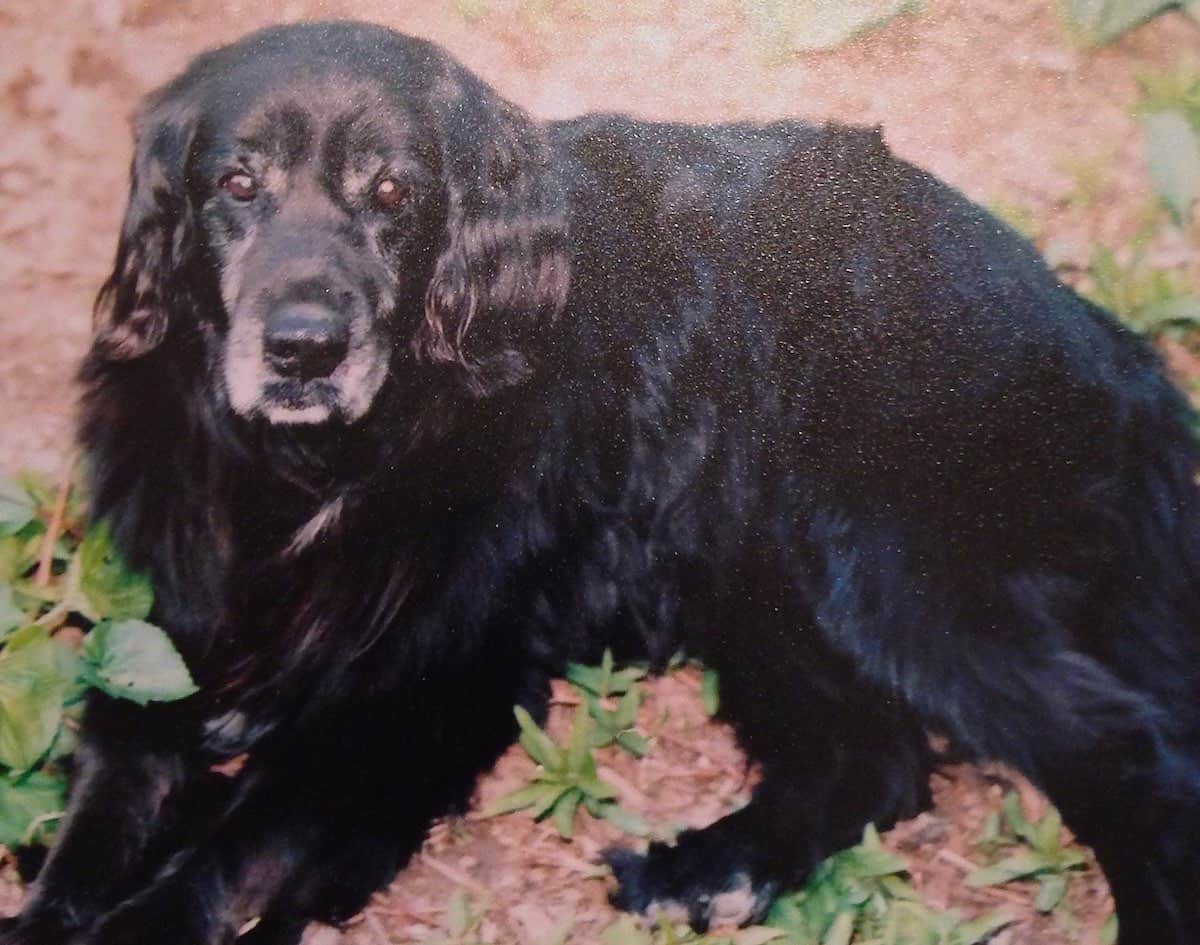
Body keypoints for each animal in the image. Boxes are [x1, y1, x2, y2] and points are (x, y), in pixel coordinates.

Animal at [4, 22, 1195, 944]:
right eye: (235, 184)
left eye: (392, 191)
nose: (302, 348)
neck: (319, 473)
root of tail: (1092, 327)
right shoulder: (174, 635)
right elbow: (107, 800)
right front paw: (51, 904)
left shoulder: (412, 687)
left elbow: (233, 841)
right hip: (757, 577)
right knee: (873, 757)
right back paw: (708, 873)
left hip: (890, 561)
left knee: (1129, 752)